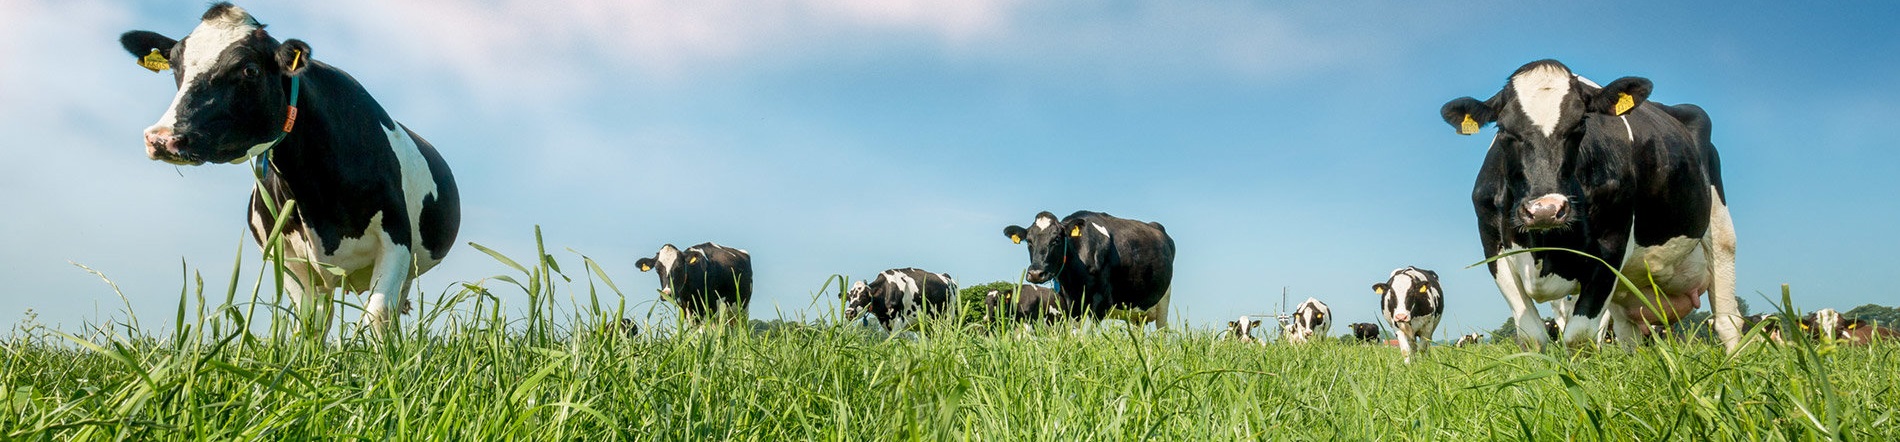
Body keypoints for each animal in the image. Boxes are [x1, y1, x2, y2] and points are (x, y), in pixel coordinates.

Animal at [120, 3, 459, 334]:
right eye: (176, 67)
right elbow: (311, 321)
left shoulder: (396, 238)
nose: (161, 137)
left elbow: (377, 315)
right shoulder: (288, 259)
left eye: (250, 69)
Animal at [1003, 211, 1175, 328]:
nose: (1036, 274)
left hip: (1164, 302)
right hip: (1137, 313)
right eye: (1029, 241)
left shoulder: (1100, 302)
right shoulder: (1068, 303)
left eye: (1056, 239)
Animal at [1441, 59, 1742, 352]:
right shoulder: (1493, 248)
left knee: (1728, 319)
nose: (1545, 210)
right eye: (1503, 129)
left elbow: (1580, 336)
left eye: (1580, 124)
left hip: (1719, 230)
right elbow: (1532, 336)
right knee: (1629, 337)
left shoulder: (1612, 244)